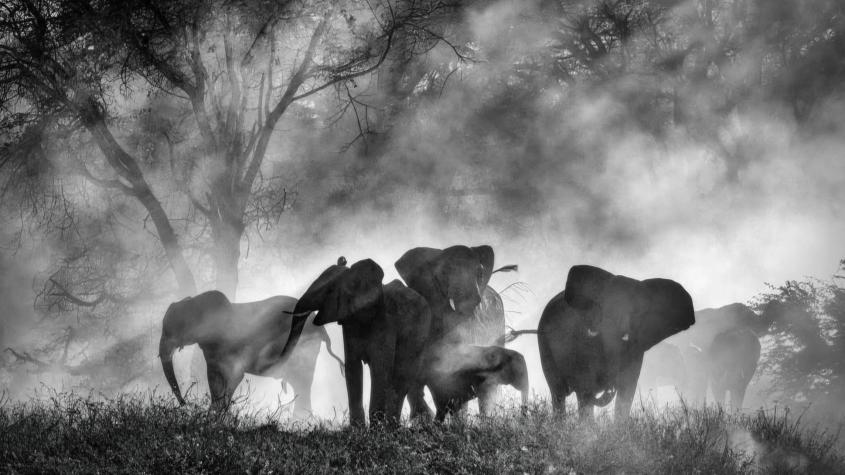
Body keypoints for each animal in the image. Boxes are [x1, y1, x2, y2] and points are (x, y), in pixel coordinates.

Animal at [158, 291, 343, 413]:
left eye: (173, 329)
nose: (186, 404)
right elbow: (213, 378)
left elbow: (234, 376)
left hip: (305, 348)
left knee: (302, 383)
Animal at [287, 257, 432, 427]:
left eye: (330, 291)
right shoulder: (349, 323)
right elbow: (352, 368)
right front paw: (357, 428)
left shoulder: (386, 321)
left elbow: (380, 368)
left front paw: (376, 429)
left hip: (420, 335)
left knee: (402, 378)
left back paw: (393, 427)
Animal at [538, 265, 695, 419]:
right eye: (602, 308)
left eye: (636, 312)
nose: (610, 386)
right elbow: (585, 387)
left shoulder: (636, 348)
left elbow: (627, 390)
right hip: (544, 345)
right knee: (558, 393)